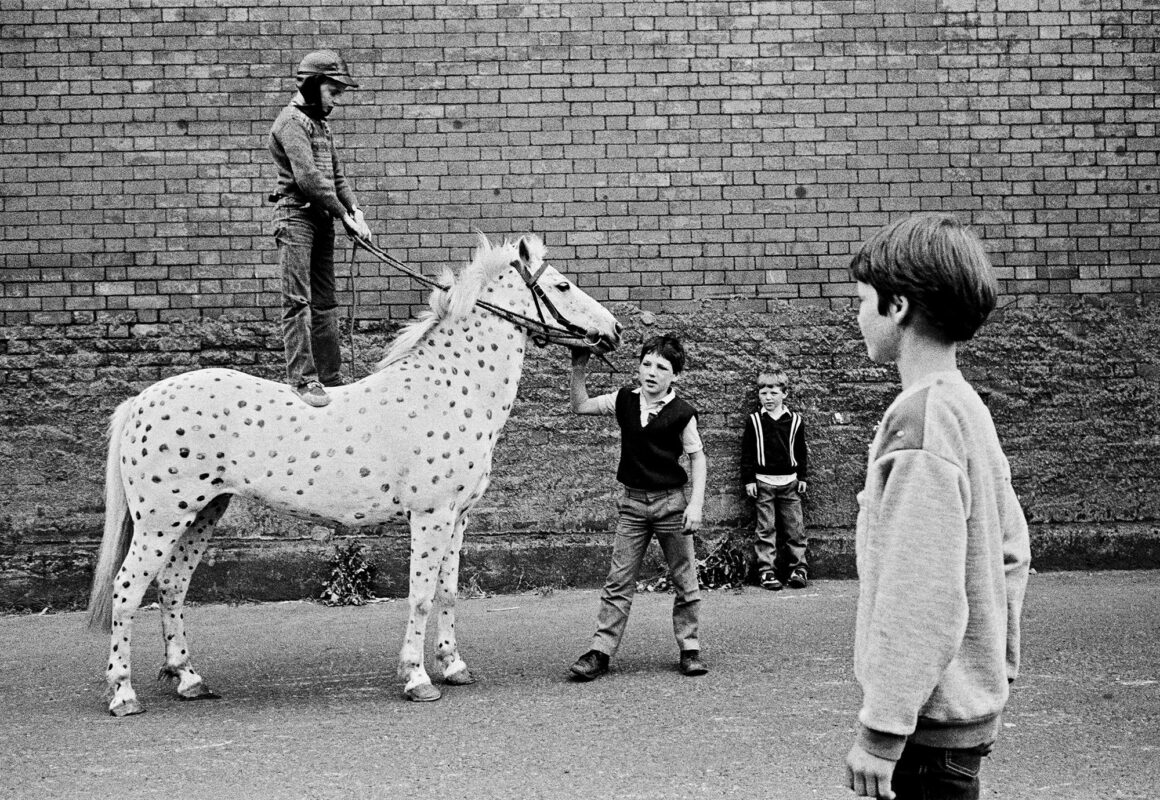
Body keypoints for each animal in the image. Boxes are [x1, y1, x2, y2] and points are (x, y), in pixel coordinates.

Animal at [85, 234, 621, 714]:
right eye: (564, 285)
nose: (614, 331)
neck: (450, 387)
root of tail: (139, 402)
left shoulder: (458, 517)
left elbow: (447, 590)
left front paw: (453, 667)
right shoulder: (430, 516)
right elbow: (420, 595)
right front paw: (418, 678)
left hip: (203, 512)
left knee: (172, 586)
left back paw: (189, 679)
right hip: (161, 520)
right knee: (127, 589)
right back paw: (123, 694)